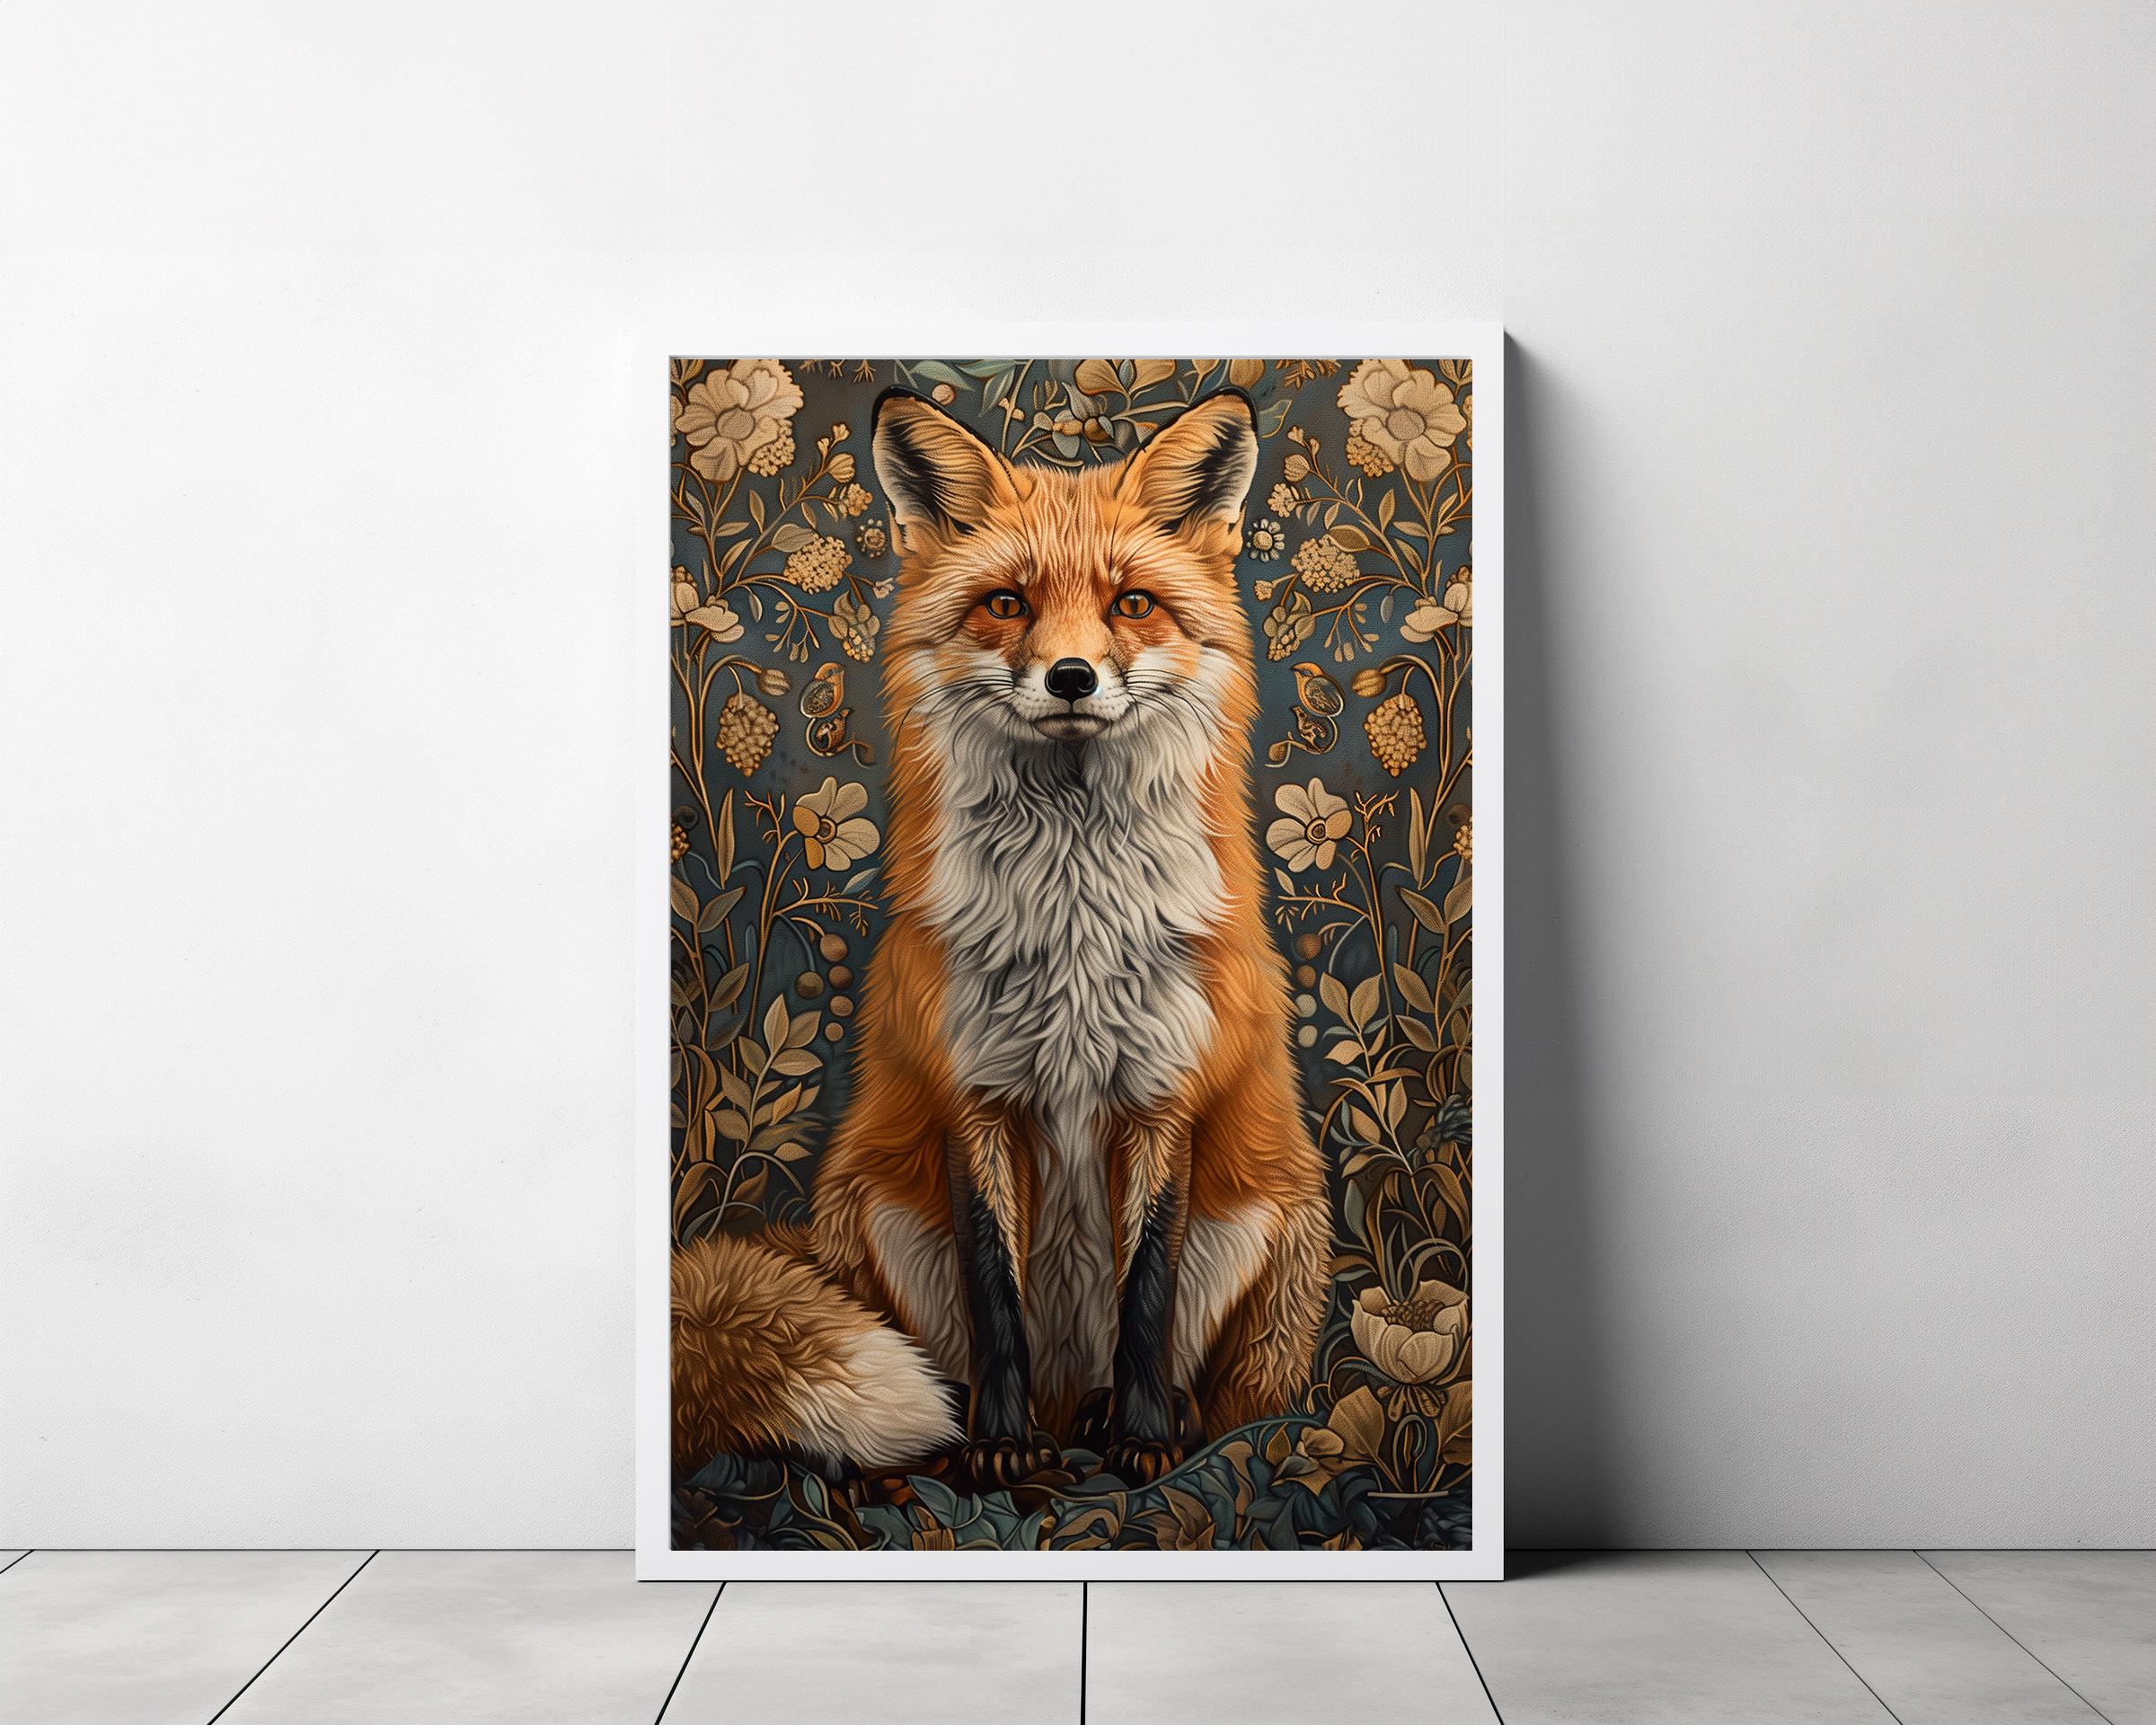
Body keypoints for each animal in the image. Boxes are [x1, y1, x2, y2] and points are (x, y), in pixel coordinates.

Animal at [672, 384, 1329, 1491]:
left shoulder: (1165, 1098)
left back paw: (1140, 1415)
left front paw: (1146, 1440)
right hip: (881, 1210)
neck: (1072, 917)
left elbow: (1146, 1293)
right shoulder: (970, 1096)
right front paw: (995, 1445)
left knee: (1213, 1387)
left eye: (1131, 604)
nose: (1070, 678)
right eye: (1008, 603)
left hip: (1262, 1216)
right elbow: (996, 1297)